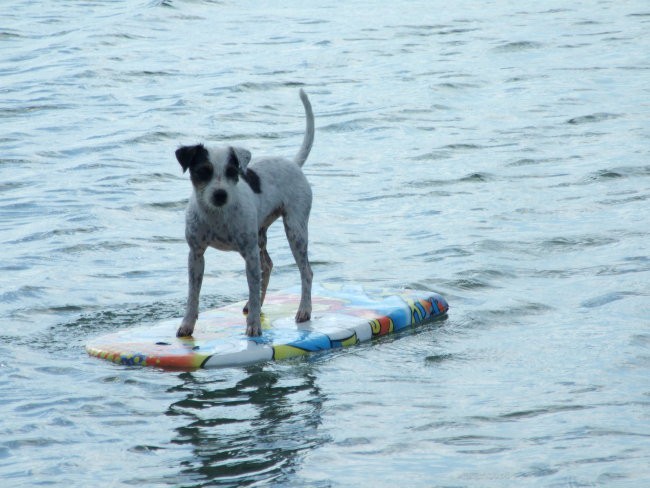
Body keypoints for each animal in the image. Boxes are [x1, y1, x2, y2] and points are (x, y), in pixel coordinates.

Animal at [172, 89, 314, 338]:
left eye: (231, 172)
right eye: (203, 171)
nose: (220, 194)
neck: (217, 215)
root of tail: (294, 164)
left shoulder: (249, 255)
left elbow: (253, 288)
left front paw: (254, 325)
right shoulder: (196, 255)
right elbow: (193, 294)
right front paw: (187, 324)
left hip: (295, 231)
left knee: (306, 272)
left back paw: (303, 309)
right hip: (259, 236)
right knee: (268, 265)